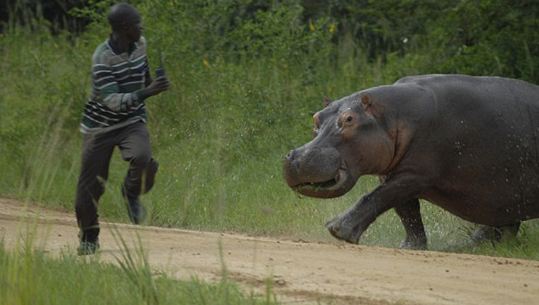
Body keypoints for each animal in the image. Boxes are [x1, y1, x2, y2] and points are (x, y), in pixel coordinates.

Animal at [282, 74, 539, 249]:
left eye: (349, 119)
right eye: (316, 117)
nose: (296, 158)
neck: (392, 115)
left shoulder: (414, 174)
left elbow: (377, 197)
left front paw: (337, 229)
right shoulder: (394, 173)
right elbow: (406, 211)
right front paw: (410, 247)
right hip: (504, 196)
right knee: (503, 224)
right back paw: (470, 245)